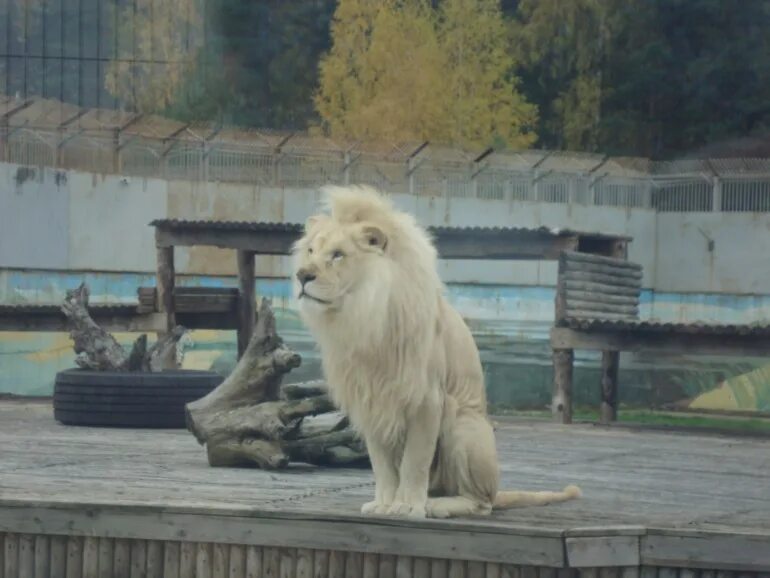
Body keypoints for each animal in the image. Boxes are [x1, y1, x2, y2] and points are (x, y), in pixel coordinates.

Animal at [292, 186, 580, 516]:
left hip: (462, 423)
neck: (364, 315)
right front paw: (384, 504)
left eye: (338, 255)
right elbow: (382, 465)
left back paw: (436, 504)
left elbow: (414, 461)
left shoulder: (427, 399)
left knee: (480, 503)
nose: (302, 275)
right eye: (310, 251)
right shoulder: (371, 400)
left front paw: (407, 506)